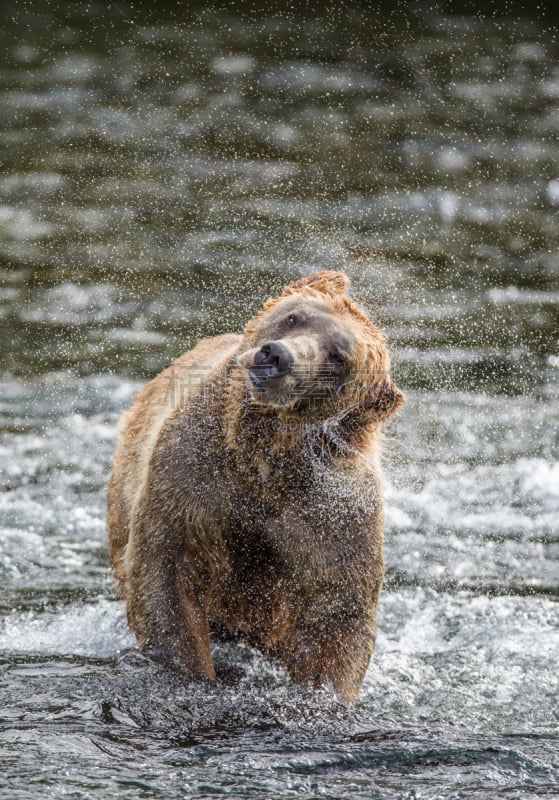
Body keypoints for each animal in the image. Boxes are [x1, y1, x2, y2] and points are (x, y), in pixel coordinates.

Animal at [106, 268, 402, 700]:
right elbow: (167, 573)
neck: (267, 456)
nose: (276, 356)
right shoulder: (194, 478)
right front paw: (191, 671)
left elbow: (337, 613)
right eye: (294, 317)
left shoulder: (336, 512)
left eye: (338, 356)